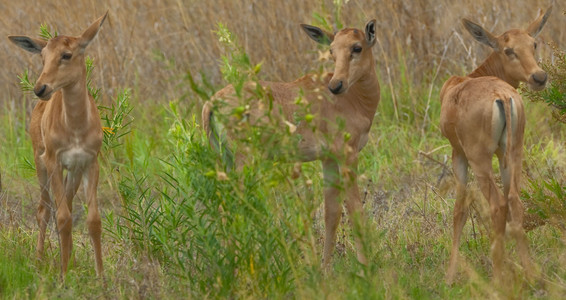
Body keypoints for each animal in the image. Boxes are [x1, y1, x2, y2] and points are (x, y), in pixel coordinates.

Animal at [8, 12, 108, 278]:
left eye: (67, 54)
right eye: (42, 56)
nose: (40, 88)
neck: (76, 129)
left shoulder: (89, 162)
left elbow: (93, 219)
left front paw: (101, 277)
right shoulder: (53, 160)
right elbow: (61, 217)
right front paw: (63, 277)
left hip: (72, 172)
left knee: (68, 207)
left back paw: (70, 259)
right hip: (40, 163)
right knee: (44, 209)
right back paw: (40, 260)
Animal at [204, 20, 382, 268]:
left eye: (357, 47)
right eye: (332, 50)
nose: (336, 85)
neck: (353, 98)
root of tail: (212, 103)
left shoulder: (328, 159)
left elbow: (332, 213)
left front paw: (325, 268)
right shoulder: (348, 156)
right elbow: (355, 209)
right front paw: (366, 267)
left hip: (224, 160)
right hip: (243, 162)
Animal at [442, 7, 552, 284]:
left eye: (533, 44)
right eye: (508, 49)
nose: (539, 77)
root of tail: (501, 96)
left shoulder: (459, 154)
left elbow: (459, 210)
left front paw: (449, 276)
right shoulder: (501, 154)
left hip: (480, 161)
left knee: (497, 205)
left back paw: (498, 278)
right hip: (513, 152)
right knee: (514, 201)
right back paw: (530, 273)